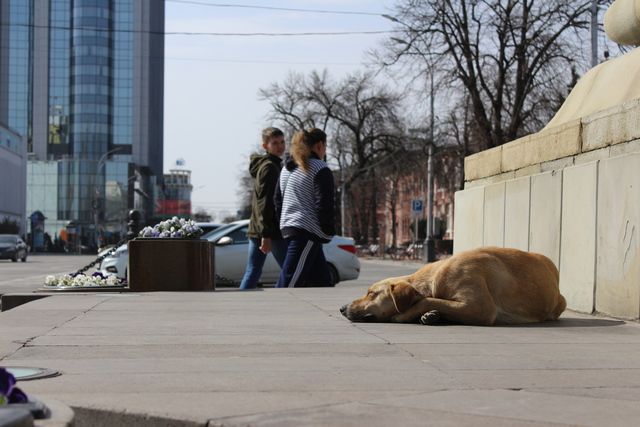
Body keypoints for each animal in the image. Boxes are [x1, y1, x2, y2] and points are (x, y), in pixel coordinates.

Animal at [342, 246, 568, 326]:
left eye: (371, 293)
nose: (342, 308)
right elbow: (433, 302)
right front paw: (430, 316)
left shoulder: (480, 307)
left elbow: (426, 300)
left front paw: (406, 315)